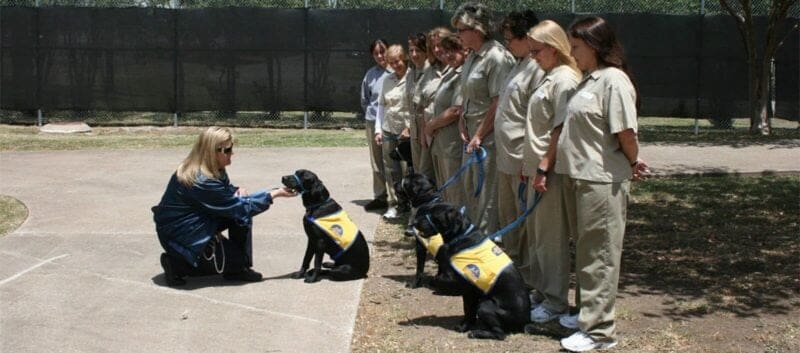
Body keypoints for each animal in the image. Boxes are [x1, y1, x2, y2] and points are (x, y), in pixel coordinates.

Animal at [412, 201, 532, 338]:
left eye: (435, 216)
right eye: (428, 210)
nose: (414, 222)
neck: (461, 235)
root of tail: (524, 323)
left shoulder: (465, 286)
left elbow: (467, 309)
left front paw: (464, 327)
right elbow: (468, 311)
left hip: (485, 305)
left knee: (500, 334)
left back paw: (478, 333)